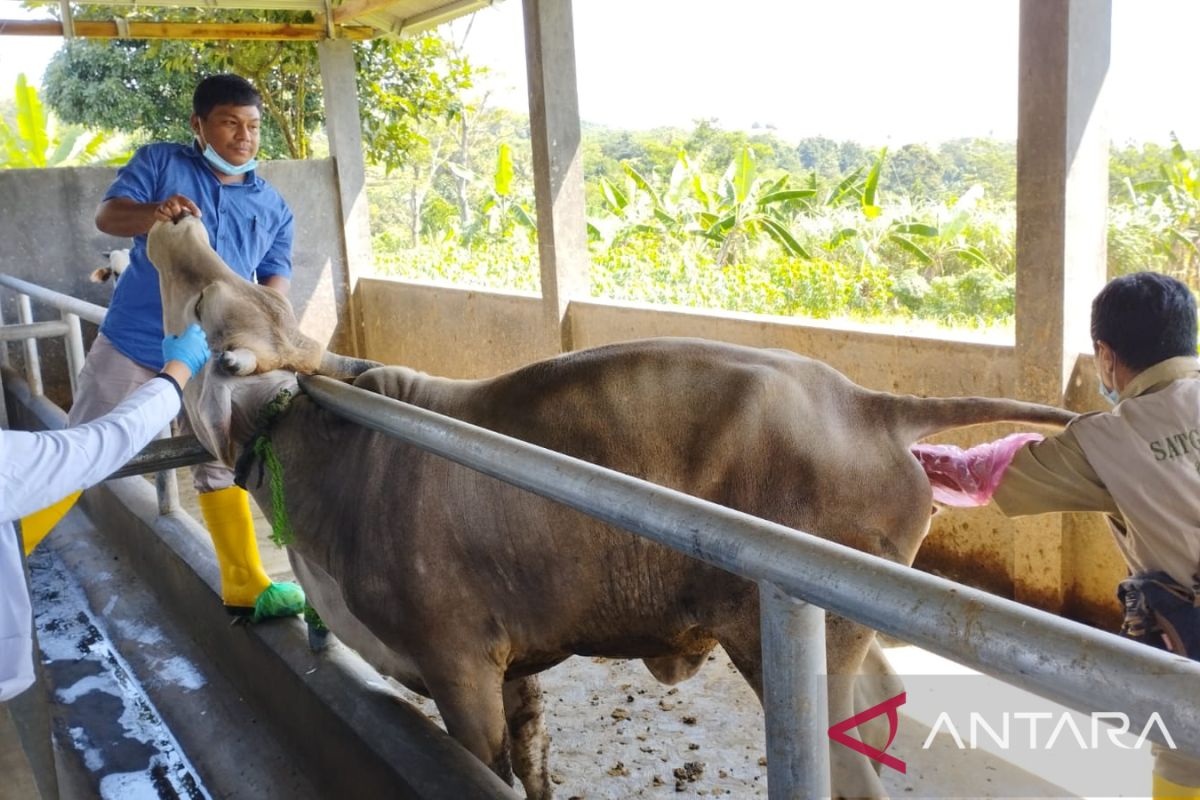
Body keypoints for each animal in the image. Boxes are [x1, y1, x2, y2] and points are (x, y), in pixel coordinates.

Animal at [145, 215, 1075, 796]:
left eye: (213, 324)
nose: (177, 221)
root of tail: (870, 401)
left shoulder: (456, 663)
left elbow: (485, 764)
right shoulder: (512, 662)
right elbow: (533, 763)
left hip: (791, 642)